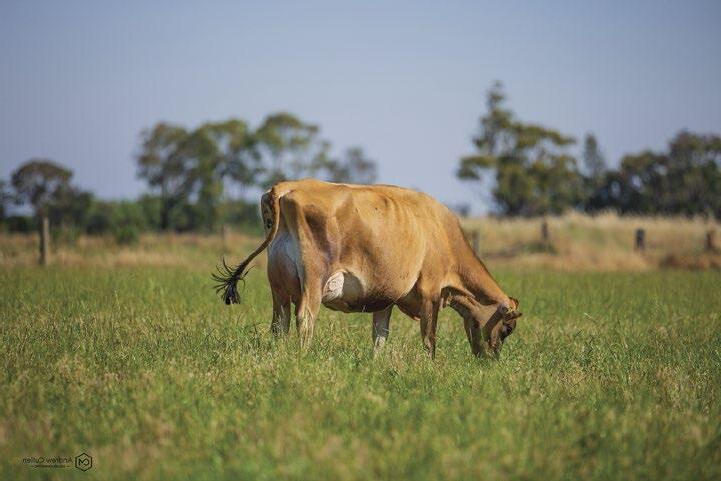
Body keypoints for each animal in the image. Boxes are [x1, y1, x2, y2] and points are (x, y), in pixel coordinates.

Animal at [213, 179, 522, 358]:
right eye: (507, 329)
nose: (491, 361)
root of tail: (285, 187)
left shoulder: (386, 297)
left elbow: (380, 335)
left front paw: (376, 365)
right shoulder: (430, 292)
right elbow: (429, 337)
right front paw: (431, 366)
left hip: (278, 286)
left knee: (280, 324)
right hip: (313, 280)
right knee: (305, 319)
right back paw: (304, 358)